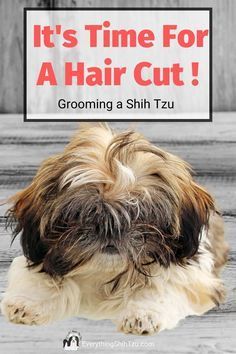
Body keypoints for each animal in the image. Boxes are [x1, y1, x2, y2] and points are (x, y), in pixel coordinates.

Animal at [0, 124, 229, 334]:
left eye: (140, 212)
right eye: (80, 213)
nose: (110, 228)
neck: (106, 275)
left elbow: (162, 285)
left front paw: (143, 314)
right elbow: (43, 279)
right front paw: (27, 302)